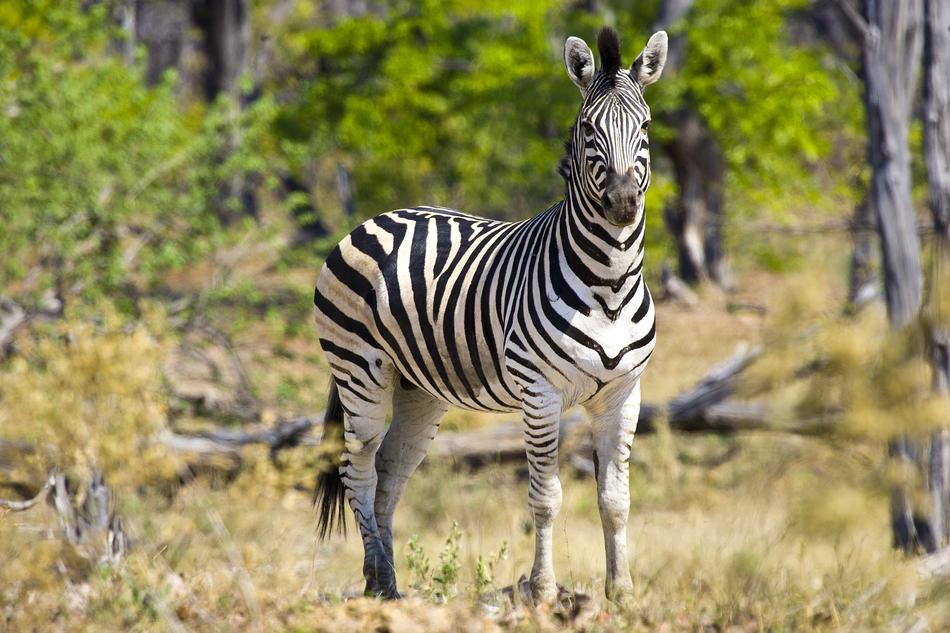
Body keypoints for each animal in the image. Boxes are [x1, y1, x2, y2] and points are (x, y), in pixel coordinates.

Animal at [314, 25, 668, 604]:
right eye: (587, 128)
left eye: (645, 126)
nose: (621, 204)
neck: (610, 284)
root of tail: (379, 216)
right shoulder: (540, 394)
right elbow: (546, 498)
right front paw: (543, 591)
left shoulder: (624, 394)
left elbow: (616, 500)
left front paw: (622, 594)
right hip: (358, 370)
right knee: (357, 469)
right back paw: (380, 581)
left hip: (420, 389)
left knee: (389, 471)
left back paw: (386, 583)